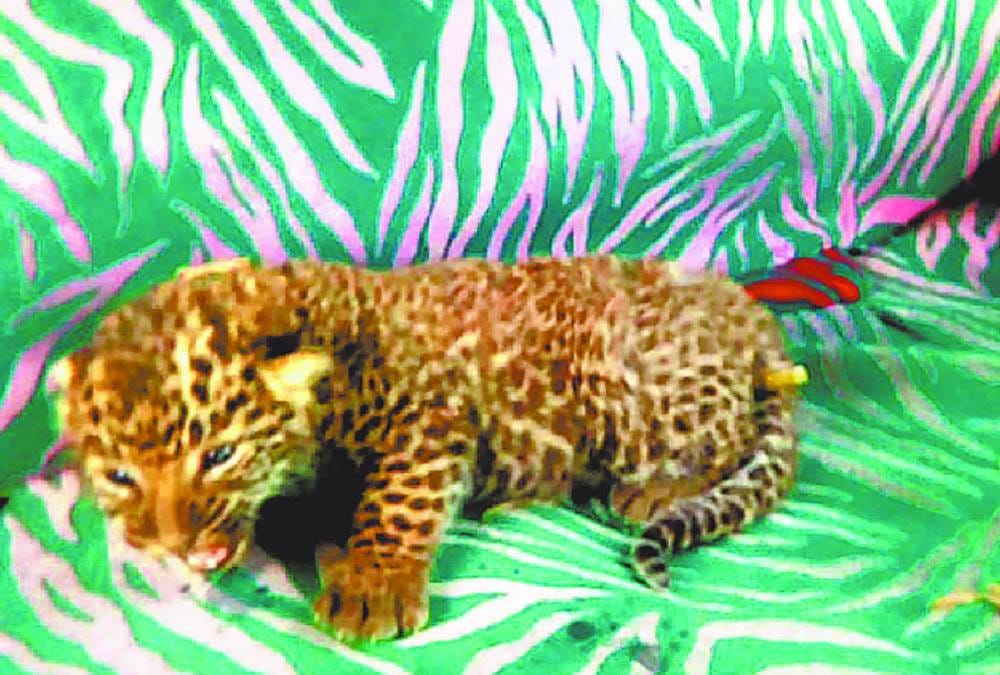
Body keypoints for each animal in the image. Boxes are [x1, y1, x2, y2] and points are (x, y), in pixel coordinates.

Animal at [49, 255, 802, 642]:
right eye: (121, 476)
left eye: (218, 456)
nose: (171, 540)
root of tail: (751, 316)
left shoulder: (430, 410)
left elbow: (399, 500)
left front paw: (373, 587)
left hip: (630, 374)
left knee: (728, 433)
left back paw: (649, 489)